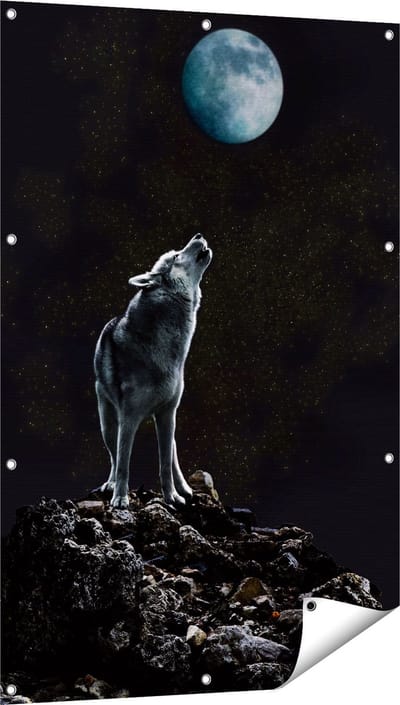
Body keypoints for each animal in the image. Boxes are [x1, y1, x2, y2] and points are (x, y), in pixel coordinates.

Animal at [94, 234, 212, 509]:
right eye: (177, 256)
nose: (198, 235)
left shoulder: (168, 413)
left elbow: (165, 464)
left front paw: (172, 497)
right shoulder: (128, 418)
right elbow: (123, 462)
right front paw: (120, 498)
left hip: (167, 422)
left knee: (173, 456)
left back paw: (185, 488)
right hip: (108, 424)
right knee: (113, 457)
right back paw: (111, 484)